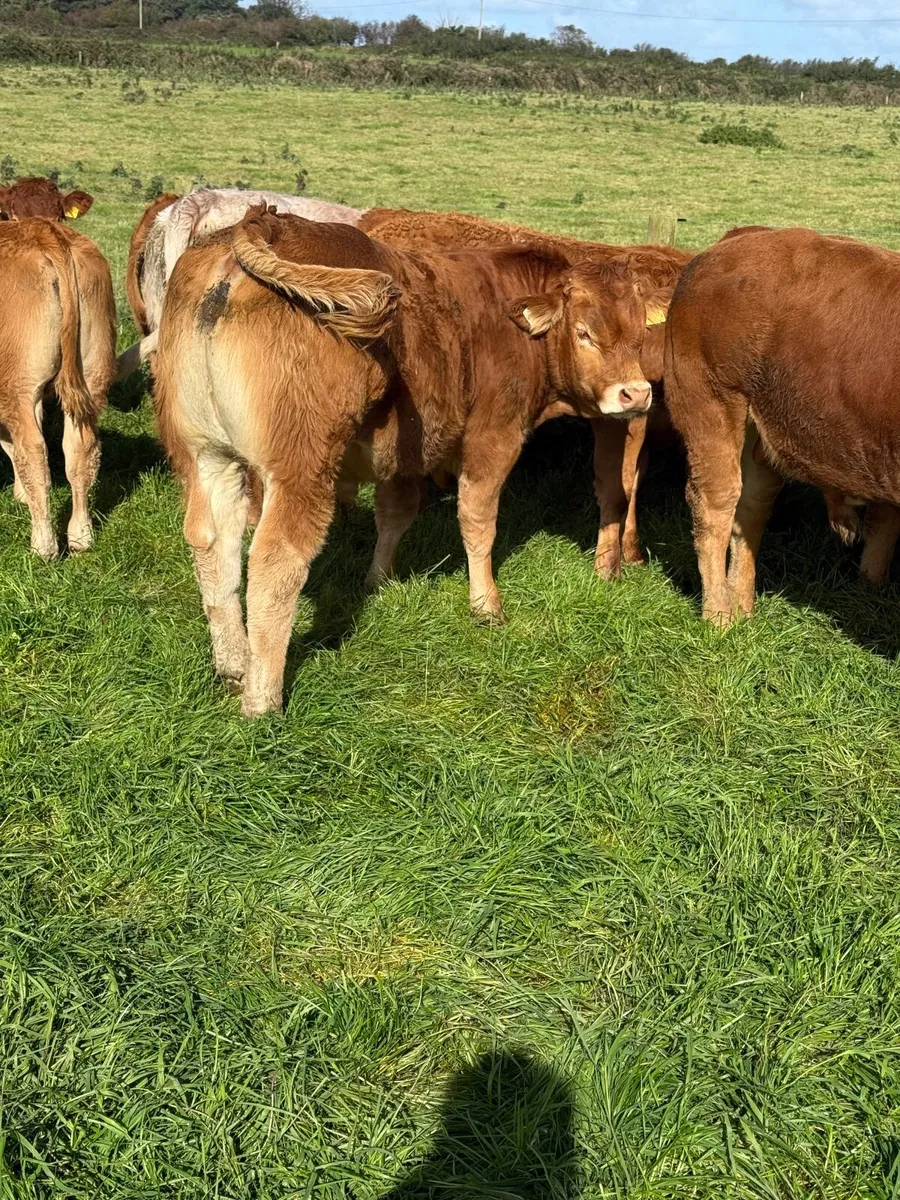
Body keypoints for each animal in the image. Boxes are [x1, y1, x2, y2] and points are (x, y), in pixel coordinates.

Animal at [0, 219, 116, 556]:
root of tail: (45, 231)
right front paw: (19, 495)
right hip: (92, 370)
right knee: (80, 448)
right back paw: (81, 537)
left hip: (17, 383)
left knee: (33, 451)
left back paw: (44, 546)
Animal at [359, 206, 691, 580]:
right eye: (585, 334)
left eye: (639, 333)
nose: (637, 392)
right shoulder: (623, 417)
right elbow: (620, 489)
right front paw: (611, 567)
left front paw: (627, 553)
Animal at [663, 226, 900, 624]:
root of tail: (746, 234)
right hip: (710, 402)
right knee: (715, 503)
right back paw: (720, 615)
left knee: (753, 503)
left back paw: (743, 604)